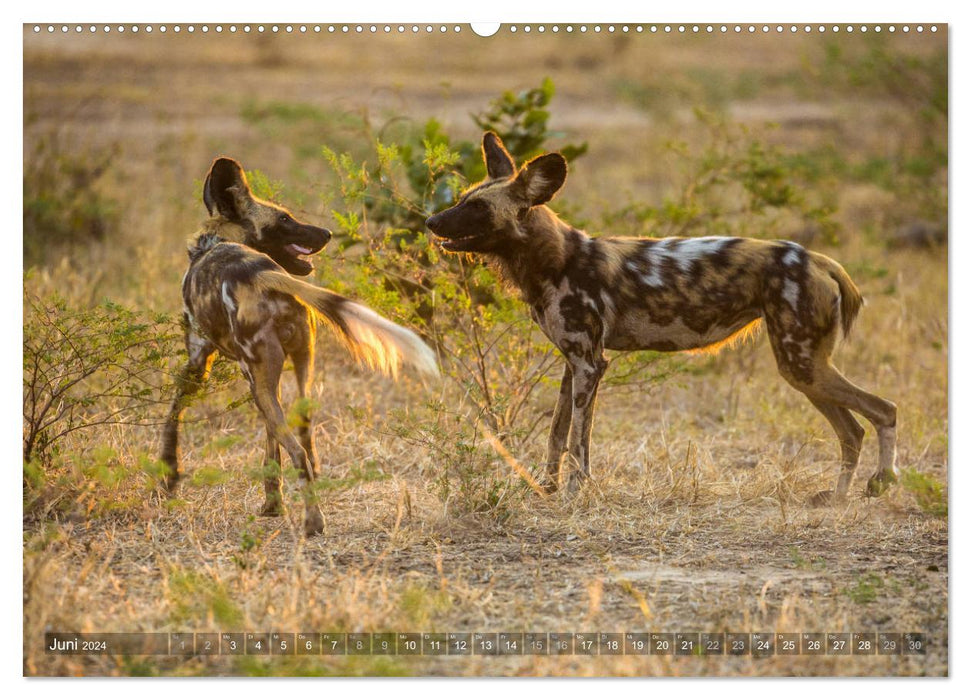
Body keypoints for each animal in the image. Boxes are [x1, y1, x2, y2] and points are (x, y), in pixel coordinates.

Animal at [163, 156, 440, 532]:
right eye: (284, 219)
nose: (327, 233)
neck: (215, 241)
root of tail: (262, 274)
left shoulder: (198, 365)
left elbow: (172, 416)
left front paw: (169, 475)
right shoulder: (265, 382)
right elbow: (272, 447)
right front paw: (273, 504)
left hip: (258, 377)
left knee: (297, 452)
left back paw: (313, 522)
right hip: (298, 368)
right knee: (306, 444)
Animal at [430, 133, 900, 504]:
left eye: (477, 207)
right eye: (463, 198)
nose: (431, 220)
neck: (554, 260)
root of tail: (818, 259)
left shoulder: (589, 364)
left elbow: (580, 441)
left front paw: (575, 494)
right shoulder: (573, 365)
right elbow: (557, 436)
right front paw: (546, 490)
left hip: (801, 364)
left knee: (884, 409)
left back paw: (880, 482)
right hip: (804, 368)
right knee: (853, 431)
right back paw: (837, 497)